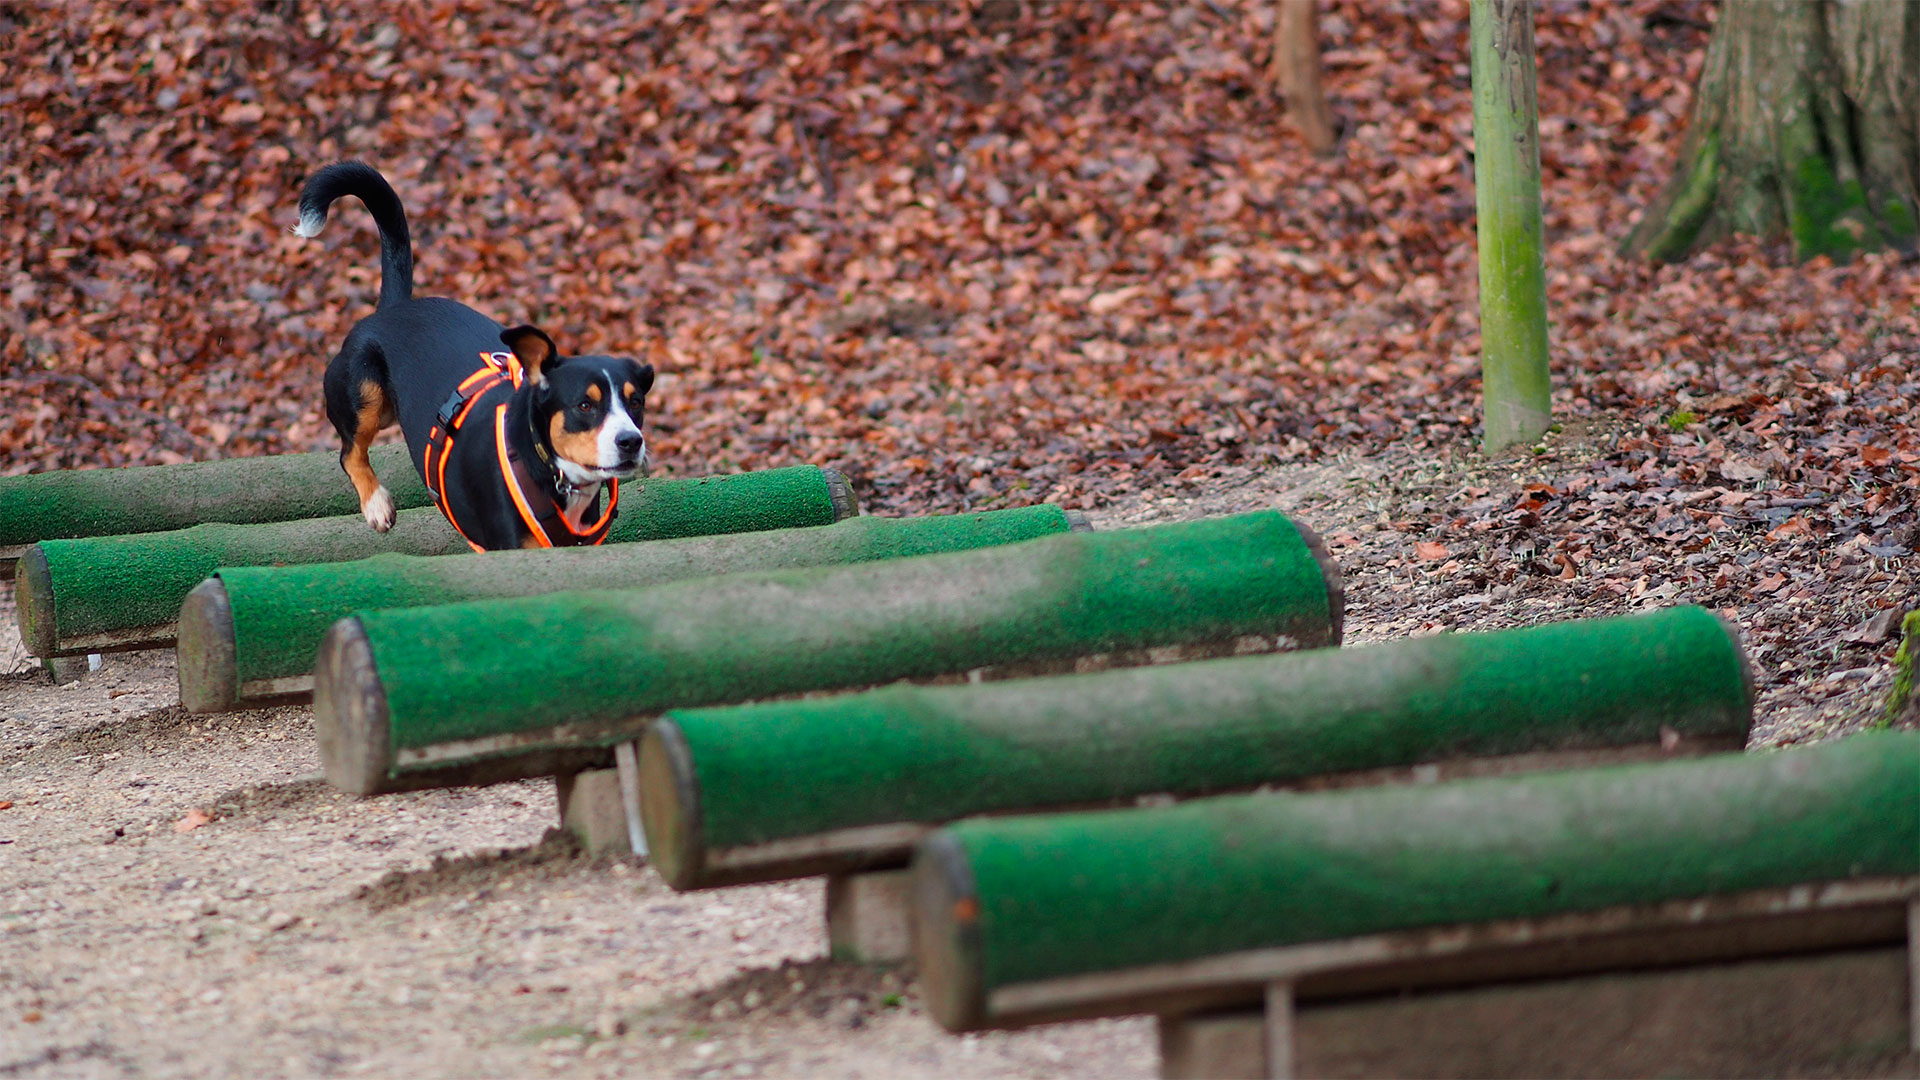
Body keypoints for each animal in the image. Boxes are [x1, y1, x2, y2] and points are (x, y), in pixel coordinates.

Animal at [291, 164, 652, 549]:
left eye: (636, 403)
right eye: (585, 405)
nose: (631, 441)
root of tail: (394, 307)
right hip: (363, 391)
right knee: (350, 452)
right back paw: (377, 504)